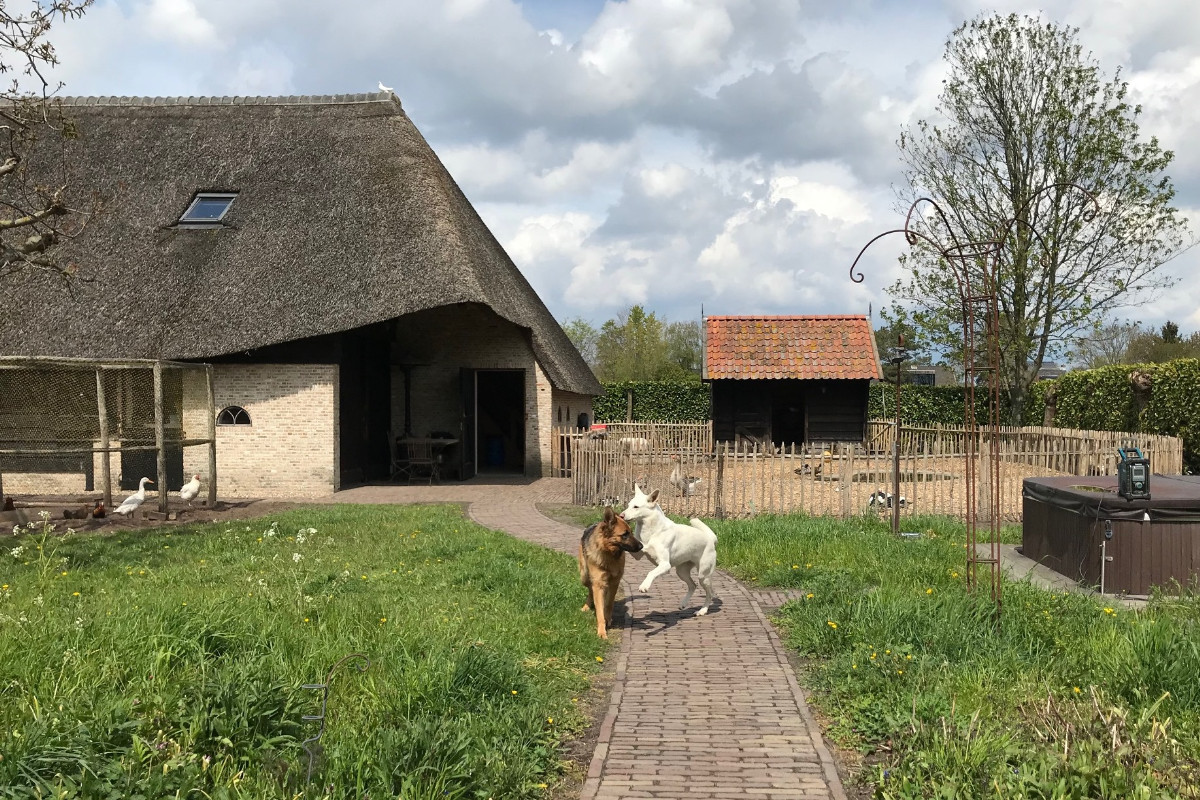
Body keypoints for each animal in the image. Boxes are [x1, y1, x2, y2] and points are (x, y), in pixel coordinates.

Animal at [578, 506, 643, 638]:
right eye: (624, 534)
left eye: (631, 532)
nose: (641, 546)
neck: (609, 553)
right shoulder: (598, 584)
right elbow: (599, 610)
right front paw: (601, 631)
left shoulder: (614, 583)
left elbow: (608, 604)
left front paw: (607, 619)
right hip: (584, 577)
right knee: (590, 590)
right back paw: (587, 606)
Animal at [619, 482, 710, 618]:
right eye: (628, 505)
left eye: (636, 507)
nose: (621, 516)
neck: (650, 531)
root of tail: (711, 538)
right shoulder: (638, 554)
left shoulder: (665, 565)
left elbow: (651, 572)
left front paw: (644, 586)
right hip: (682, 572)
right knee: (693, 586)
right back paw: (684, 603)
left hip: (703, 576)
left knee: (711, 593)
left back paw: (702, 610)